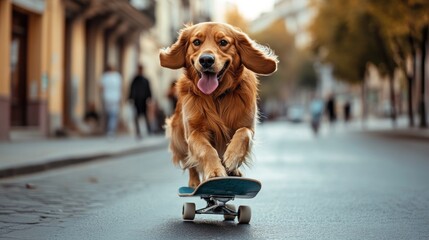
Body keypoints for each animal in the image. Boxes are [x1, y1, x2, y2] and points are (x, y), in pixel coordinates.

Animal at [159, 22, 276, 188]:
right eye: (196, 42)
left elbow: (243, 133)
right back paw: (194, 183)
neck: (216, 97)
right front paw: (214, 171)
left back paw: (234, 172)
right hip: (178, 137)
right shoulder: (194, 132)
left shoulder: (248, 126)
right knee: (190, 163)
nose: (206, 60)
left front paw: (232, 158)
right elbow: (206, 149)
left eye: (223, 42)